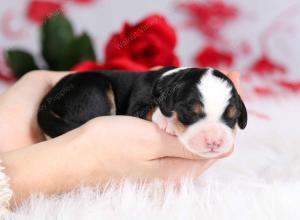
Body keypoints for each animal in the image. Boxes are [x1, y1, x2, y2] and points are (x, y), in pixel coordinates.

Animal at [37, 67, 247, 158]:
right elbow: (151, 108)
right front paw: (167, 121)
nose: (215, 142)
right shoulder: (135, 107)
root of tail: (48, 99)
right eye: (189, 113)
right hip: (95, 90)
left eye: (232, 117)